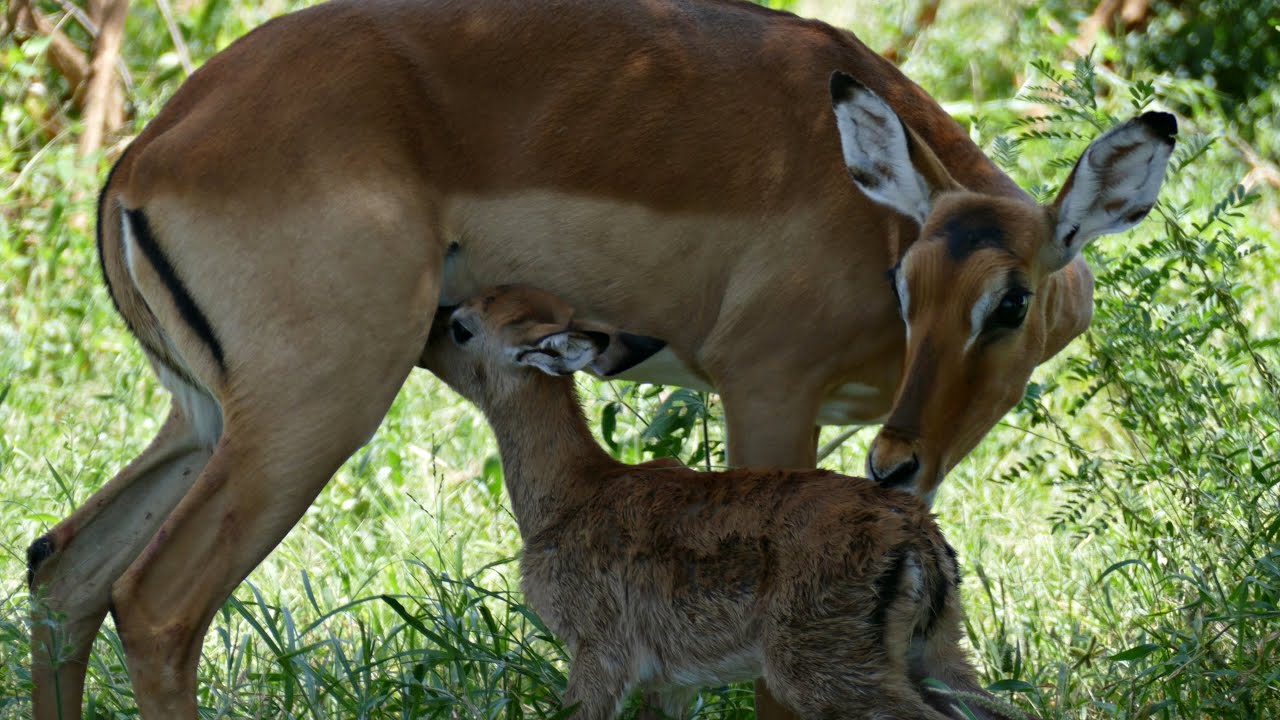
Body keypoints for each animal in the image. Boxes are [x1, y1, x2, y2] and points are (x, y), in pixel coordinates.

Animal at [420, 284, 1019, 720]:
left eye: (464, 327)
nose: (427, 328)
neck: (568, 493)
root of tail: (920, 538)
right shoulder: (670, 678)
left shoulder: (600, 647)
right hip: (938, 647)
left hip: (826, 662)